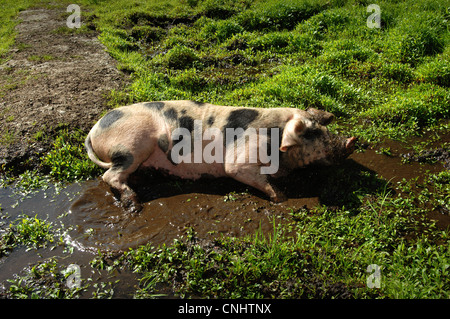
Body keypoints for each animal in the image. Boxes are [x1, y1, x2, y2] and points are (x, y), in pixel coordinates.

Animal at [86, 101, 356, 212]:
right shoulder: (241, 159)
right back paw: (135, 206)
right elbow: (239, 171)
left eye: (323, 128)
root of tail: (93, 130)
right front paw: (282, 198)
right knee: (109, 176)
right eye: (310, 132)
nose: (352, 141)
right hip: (131, 147)